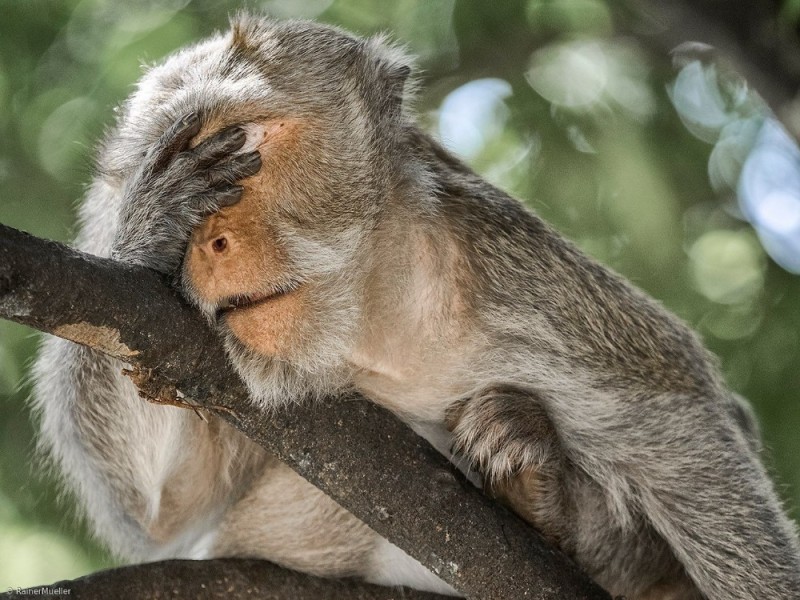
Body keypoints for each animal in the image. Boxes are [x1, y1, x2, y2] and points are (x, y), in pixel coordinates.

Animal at [32, 14, 800, 600]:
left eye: (239, 139)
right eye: (170, 156)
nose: (208, 242)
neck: (375, 327)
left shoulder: (520, 280)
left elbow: (687, 424)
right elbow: (162, 510)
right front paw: (152, 226)